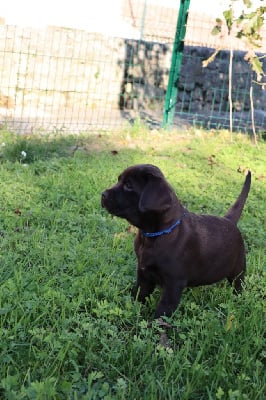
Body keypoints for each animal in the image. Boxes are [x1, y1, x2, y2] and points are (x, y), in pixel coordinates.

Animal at [101, 164, 250, 318]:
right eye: (119, 180)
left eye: (128, 185)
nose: (103, 194)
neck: (154, 236)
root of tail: (229, 220)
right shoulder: (144, 274)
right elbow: (139, 294)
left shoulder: (174, 283)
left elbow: (163, 310)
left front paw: (154, 323)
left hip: (238, 269)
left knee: (238, 285)